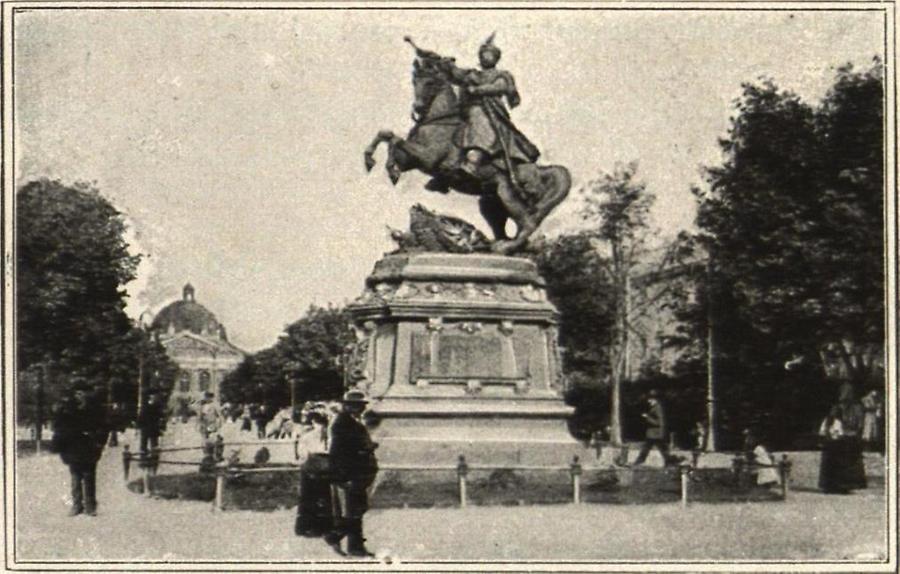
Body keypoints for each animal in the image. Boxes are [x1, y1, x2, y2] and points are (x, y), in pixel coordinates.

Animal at [364, 55, 568, 254]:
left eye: (430, 83)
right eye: (415, 81)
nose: (418, 109)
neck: (439, 121)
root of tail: (540, 171)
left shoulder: (427, 158)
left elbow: (395, 140)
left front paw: (390, 168)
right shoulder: (411, 160)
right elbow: (386, 135)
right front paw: (375, 161)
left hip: (508, 195)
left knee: (528, 223)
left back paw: (504, 247)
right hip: (490, 202)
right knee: (505, 228)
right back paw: (496, 246)